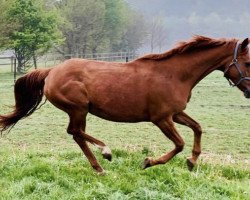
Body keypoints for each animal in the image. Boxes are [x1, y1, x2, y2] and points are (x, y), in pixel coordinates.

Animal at [0, 36, 250, 173]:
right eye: (247, 62)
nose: (249, 91)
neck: (174, 75)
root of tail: (51, 71)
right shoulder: (161, 118)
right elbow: (179, 144)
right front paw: (148, 162)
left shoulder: (176, 113)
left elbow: (197, 128)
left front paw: (192, 161)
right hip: (78, 109)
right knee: (75, 132)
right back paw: (105, 152)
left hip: (80, 111)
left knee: (77, 135)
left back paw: (99, 168)